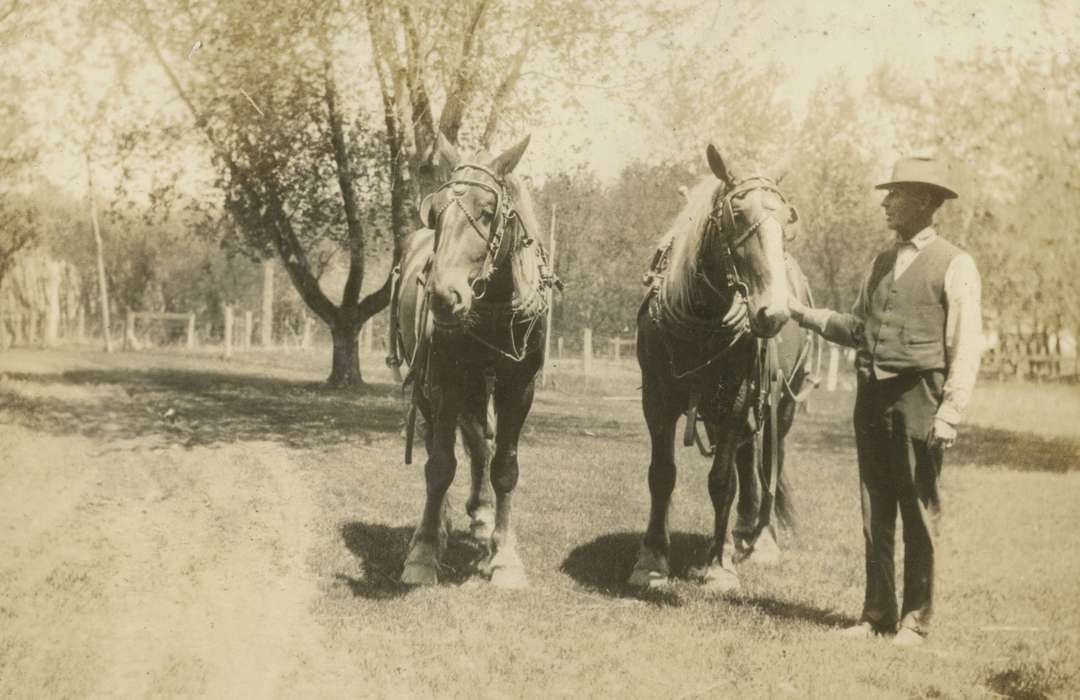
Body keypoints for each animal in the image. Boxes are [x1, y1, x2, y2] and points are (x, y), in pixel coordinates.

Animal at [388, 129, 557, 583]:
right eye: (436, 215)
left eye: (487, 212)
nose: (443, 297)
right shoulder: (445, 380)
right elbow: (440, 465)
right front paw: (424, 552)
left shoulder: (519, 386)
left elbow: (504, 467)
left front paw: (504, 556)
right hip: (432, 386)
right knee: (440, 443)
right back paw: (438, 524)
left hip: (480, 385)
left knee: (481, 444)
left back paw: (482, 521)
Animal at [630, 144, 812, 591]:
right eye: (738, 215)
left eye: (787, 220)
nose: (773, 312)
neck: (701, 321)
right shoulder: (657, 401)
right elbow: (662, 475)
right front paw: (652, 556)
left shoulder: (736, 400)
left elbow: (721, 481)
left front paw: (717, 566)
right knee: (748, 456)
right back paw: (741, 531)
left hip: (780, 403)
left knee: (768, 459)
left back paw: (760, 540)